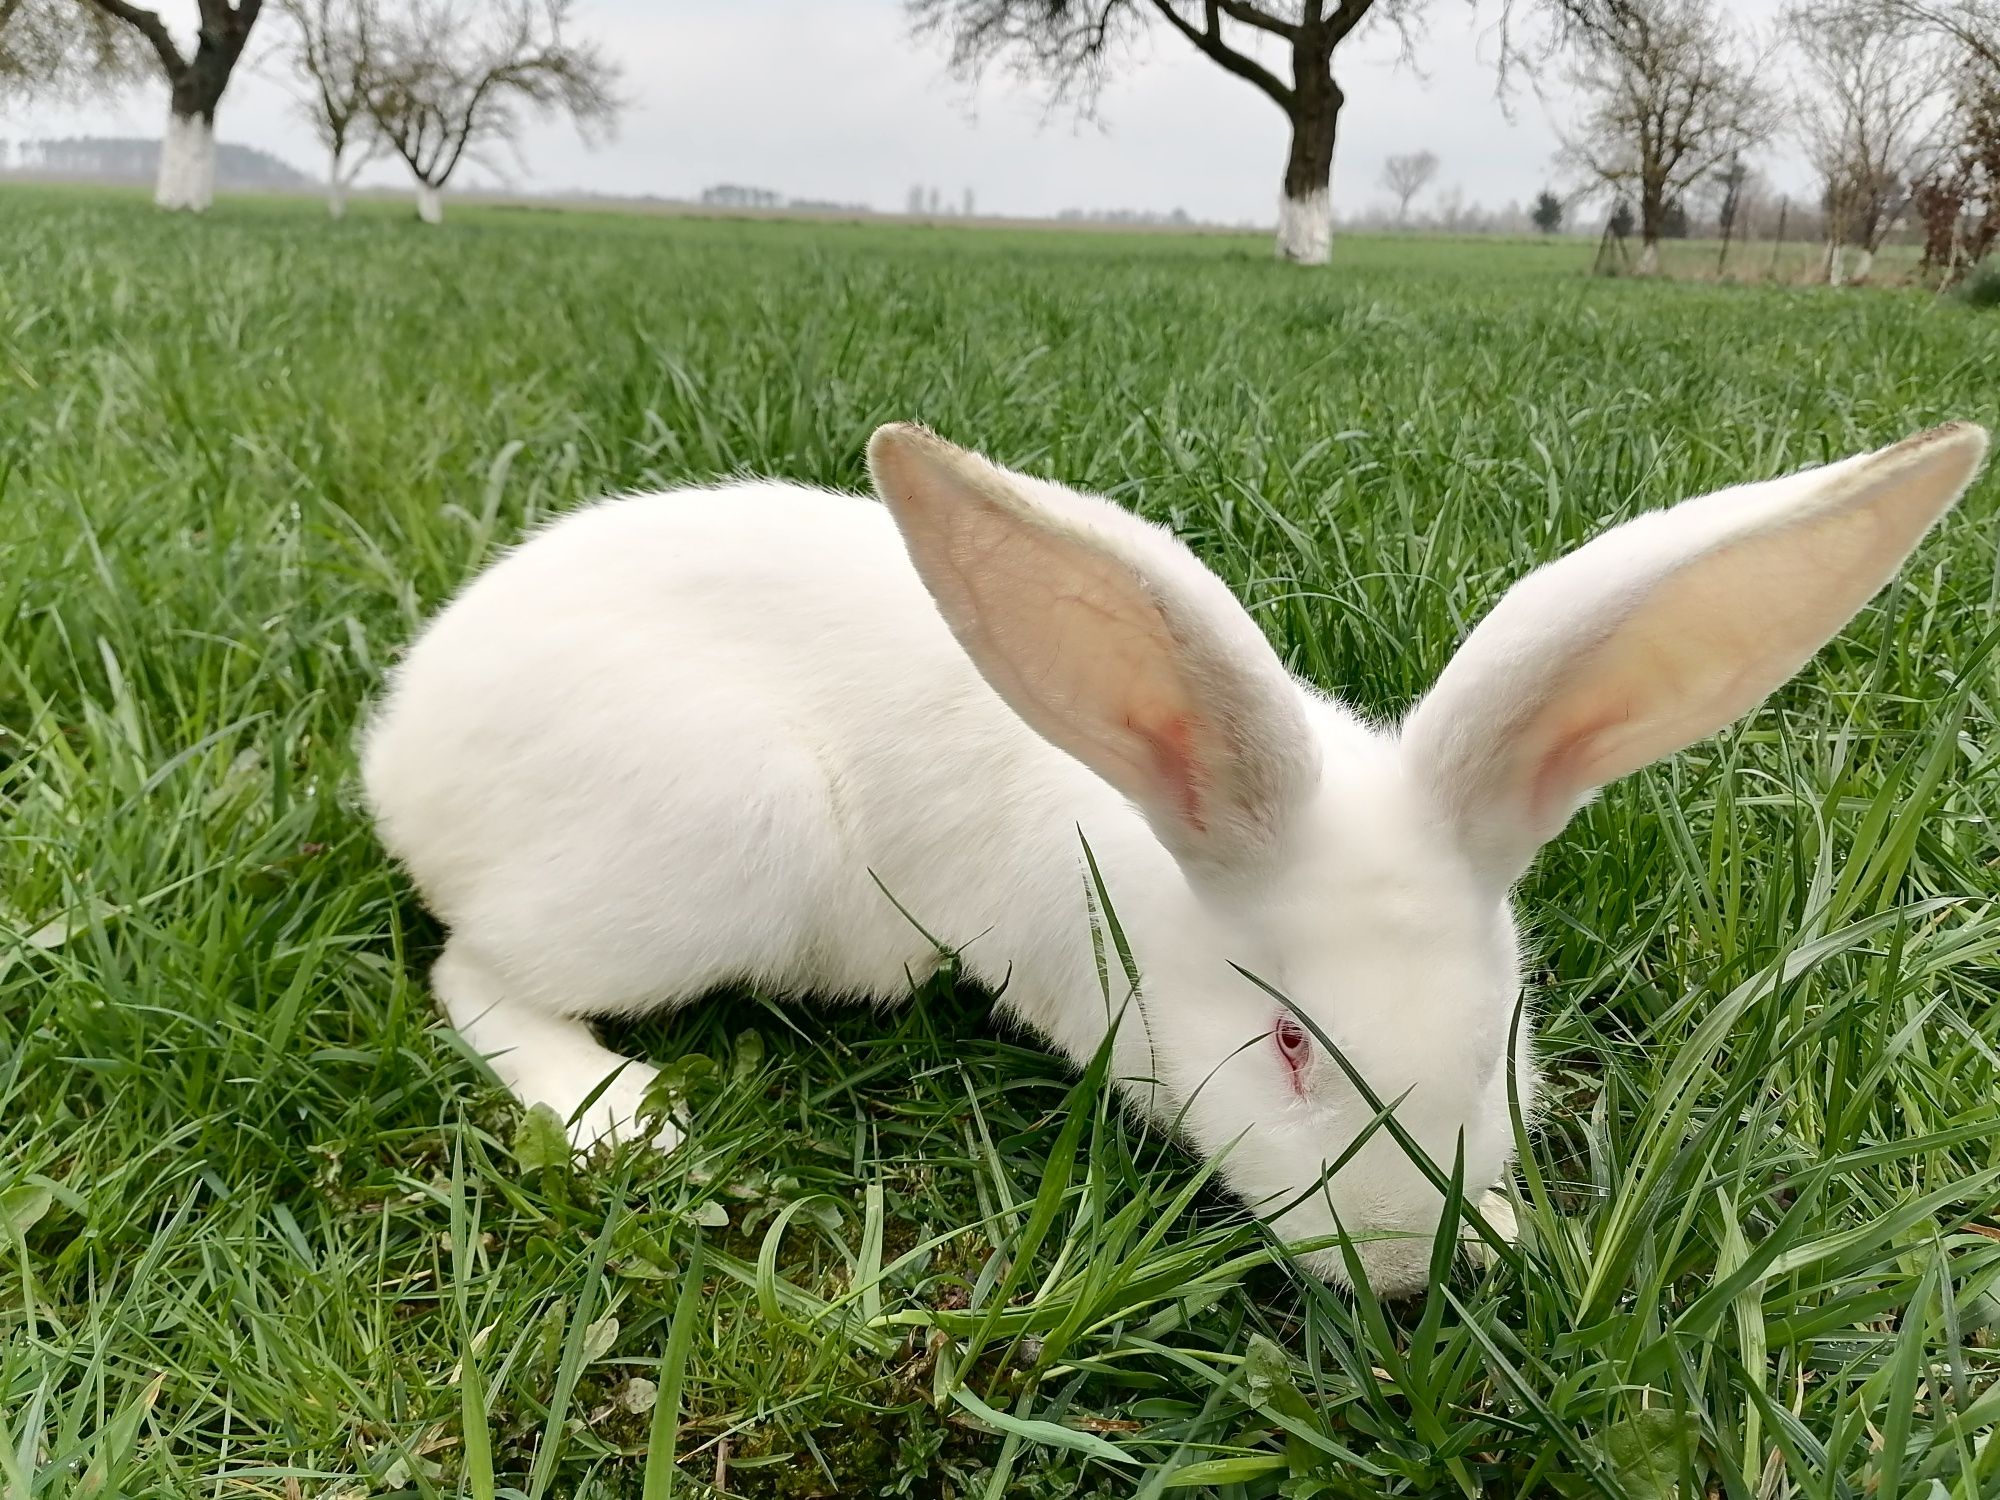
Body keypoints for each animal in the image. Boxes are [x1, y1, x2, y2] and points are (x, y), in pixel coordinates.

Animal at [360, 420, 1984, 1296]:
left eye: (1502, 1038)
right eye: (1284, 1043)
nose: (1407, 1271)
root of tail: (403, 735)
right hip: (714, 841)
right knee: (471, 975)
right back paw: (616, 1115)